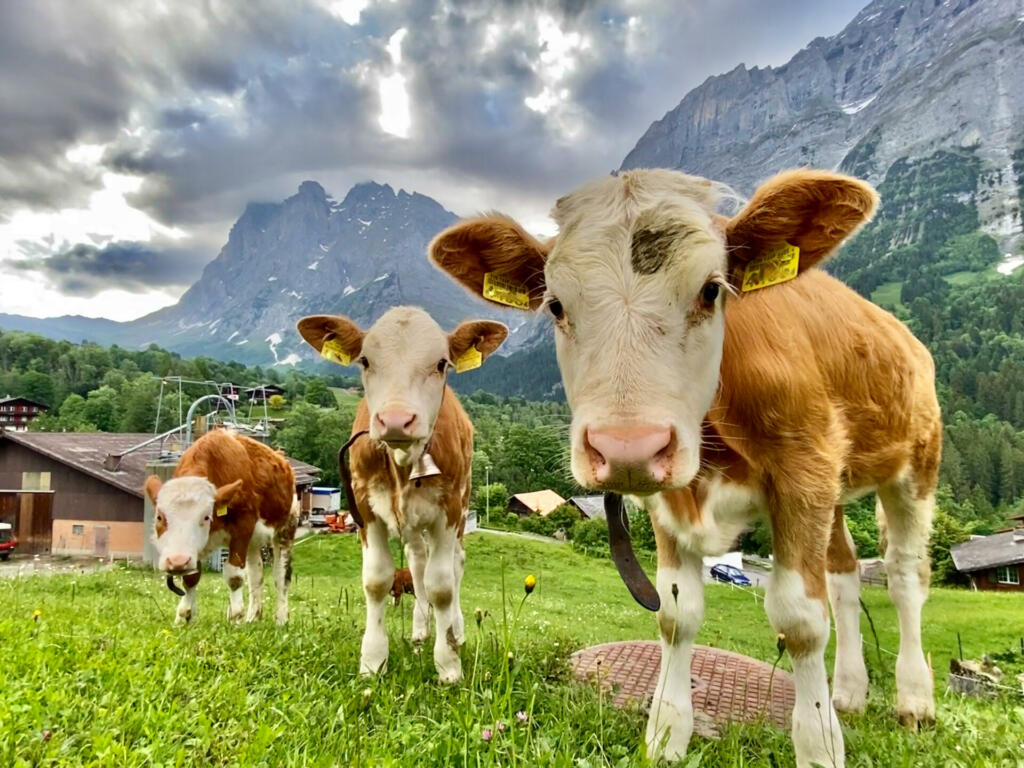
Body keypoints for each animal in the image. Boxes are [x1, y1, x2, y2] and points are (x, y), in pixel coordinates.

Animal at [143, 430, 299, 626]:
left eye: (206, 516)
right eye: (159, 517)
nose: (177, 561)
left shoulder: (243, 526)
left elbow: (234, 576)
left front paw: (235, 617)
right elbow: (191, 577)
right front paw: (184, 616)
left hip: (286, 529)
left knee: (281, 576)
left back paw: (281, 619)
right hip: (253, 541)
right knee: (257, 574)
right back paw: (253, 617)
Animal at [294, 303, 505, 684]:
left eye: (441, 363)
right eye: (364, 361)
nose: (395, 419)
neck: (404, 462)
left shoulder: (449, 512)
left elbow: (443, 586)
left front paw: (448, 664)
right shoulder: (364, 509)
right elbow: (378, 581)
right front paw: (373, 660)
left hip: (461, 507)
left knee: (454, 566)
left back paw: (455, 630)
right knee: (418, 565)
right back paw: (420, 631)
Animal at [428, 169, 937, 768]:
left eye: (711, 289)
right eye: (555, 305)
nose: (626, 447)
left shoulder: (803, 471)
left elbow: (801, 621)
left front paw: (819, 746)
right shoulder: (673, 496)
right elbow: (676, 614)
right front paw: (667, 735)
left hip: (916, 464)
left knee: (904, 575)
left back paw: (914, 701)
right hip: (833, 496)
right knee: (845, 574)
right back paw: (850, 694)